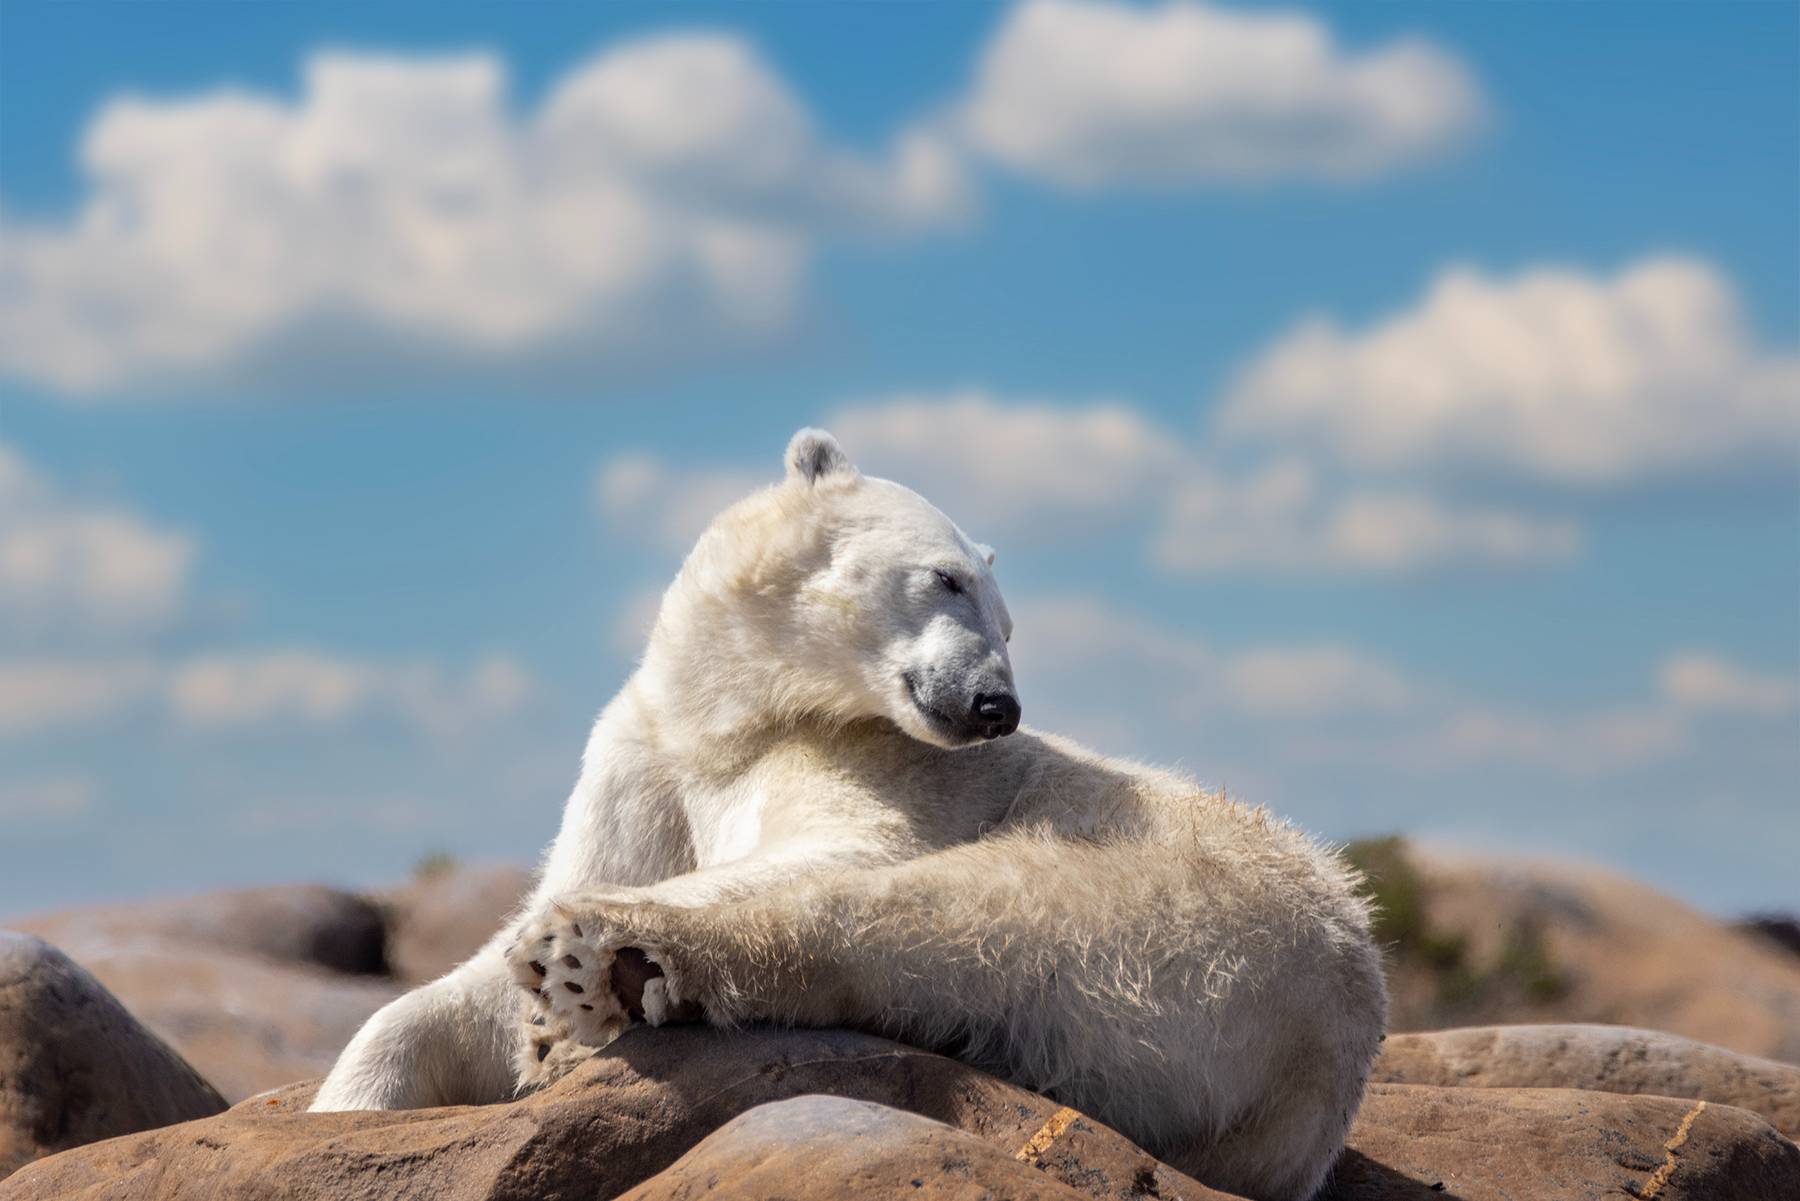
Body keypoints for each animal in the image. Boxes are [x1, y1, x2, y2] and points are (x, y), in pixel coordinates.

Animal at [312, 428, 1387, 1201]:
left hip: (1205, 925)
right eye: (948, 578)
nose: (997, 706)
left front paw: (561, 977)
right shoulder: (641, 761)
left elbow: (847, 844)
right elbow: (458, 989)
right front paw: (366, 1098)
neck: (729, 714)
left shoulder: (879, 760)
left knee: (972, 916)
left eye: (1009, 622)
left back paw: (618, 958)